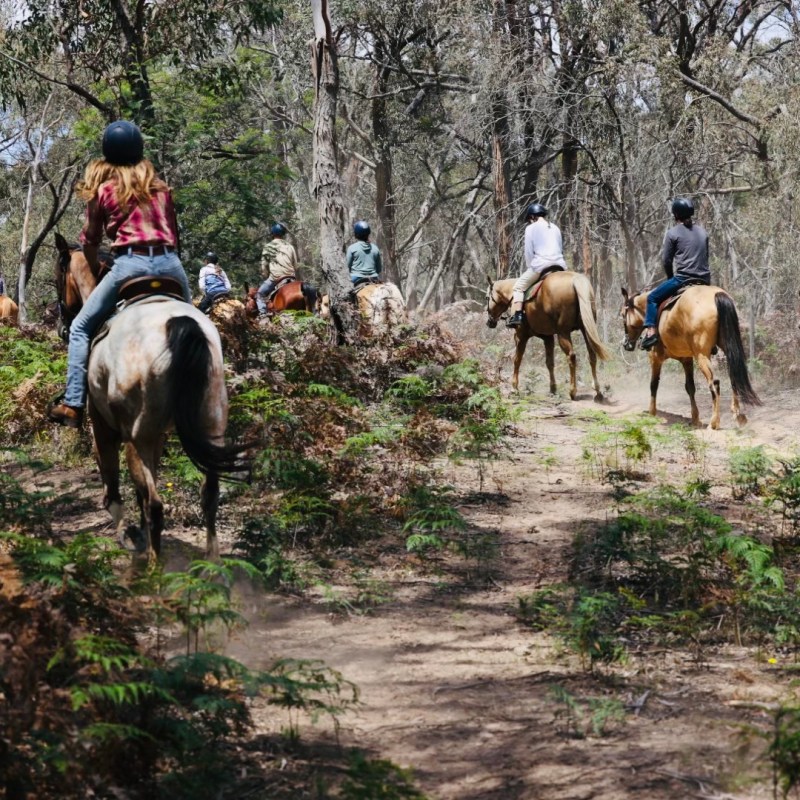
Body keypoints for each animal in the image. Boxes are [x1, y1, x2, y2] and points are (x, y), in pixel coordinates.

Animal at [58, 247, 248, 562]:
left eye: (59, 274)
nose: (62, 323)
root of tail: (180, 324)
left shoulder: (103, 426)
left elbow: (113, 484)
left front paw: (127, 533)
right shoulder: (157, 436)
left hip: (137, 437)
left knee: (155, 505)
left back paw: (154, 567)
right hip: (209, 424)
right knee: (209, 494)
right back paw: (213, 564)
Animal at [486, 272, 610, 400]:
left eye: (487, 298)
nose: (490, 322)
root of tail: (575, 280)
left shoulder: (520, 336)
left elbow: (517, 360)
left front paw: (514, 388)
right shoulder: (548, 338)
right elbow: (550, 363)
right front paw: (553, 388)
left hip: (563, 333)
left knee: (571, 356)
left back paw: (573, 391)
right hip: (585, 330)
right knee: (592, 355)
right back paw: (597, 390)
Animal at [621, 285, 760, 429]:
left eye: (623, 315)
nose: (626, 344)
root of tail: (717, 295)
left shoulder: (655, 358)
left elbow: (653, 384)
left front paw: (652, 413)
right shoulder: (686, 360)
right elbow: (690, 387)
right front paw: (695, 419)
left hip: (702, 356)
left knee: (715, 383)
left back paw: (714, 422)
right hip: (727, 348)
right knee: (734, 377)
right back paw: (737, 414)